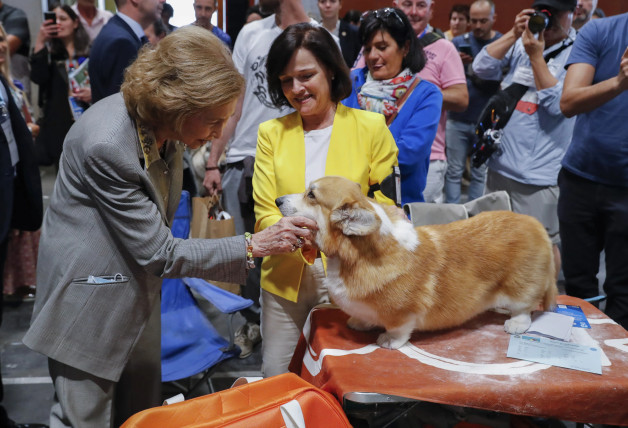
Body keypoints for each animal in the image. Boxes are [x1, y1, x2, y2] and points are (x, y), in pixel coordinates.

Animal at [278, 176, 556, 350]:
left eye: (311, 195)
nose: (278, 200)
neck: (355, 256)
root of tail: (536, 225)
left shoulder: (402, 315)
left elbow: (399, 329)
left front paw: (388, 341)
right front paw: (360, 322)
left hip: (521, 287)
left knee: (525, 308)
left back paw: (515, 323)